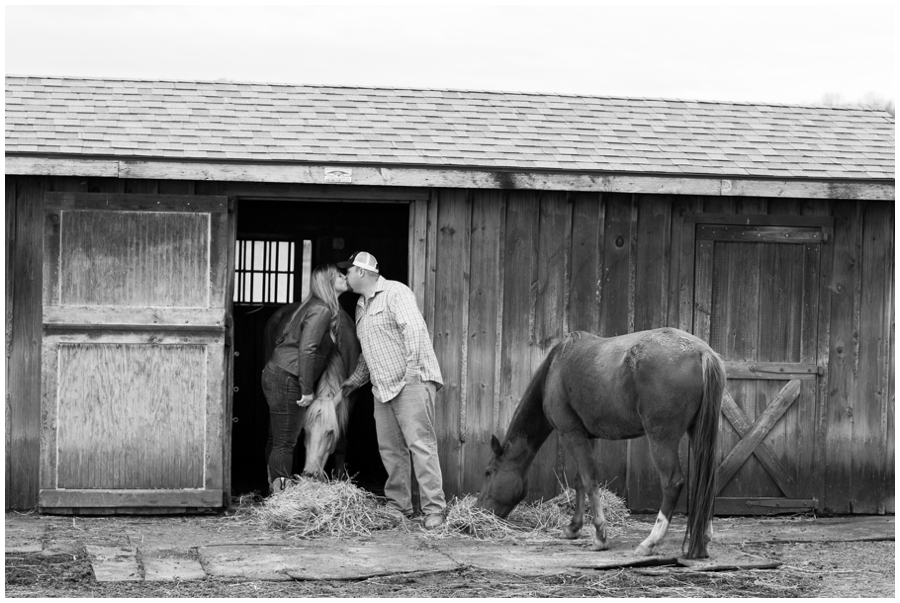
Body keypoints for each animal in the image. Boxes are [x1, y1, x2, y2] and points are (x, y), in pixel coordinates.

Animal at [478, 328, 724, 560]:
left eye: (489, 472)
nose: (479, 509)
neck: (555, 367)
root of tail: (702, 352)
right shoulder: (588, 437)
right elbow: (579, 481)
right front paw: (573, 528)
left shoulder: (571, 434)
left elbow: (589, 481)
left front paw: (600, 536)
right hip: (697, 434)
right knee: (707, 480)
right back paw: (704, 539)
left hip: (661, 440)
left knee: (672, 483)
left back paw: (650, 542)